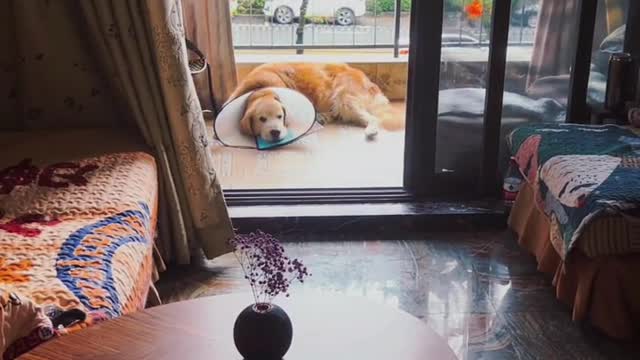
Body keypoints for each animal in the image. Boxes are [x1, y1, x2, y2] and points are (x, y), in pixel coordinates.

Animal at [228, 62, 402, 142]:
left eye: (279, 117)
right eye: (261, 119)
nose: (275, 132)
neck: (262, 89)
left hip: (344, 97)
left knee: (372, 118)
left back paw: (370, 130)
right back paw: (322, 117)